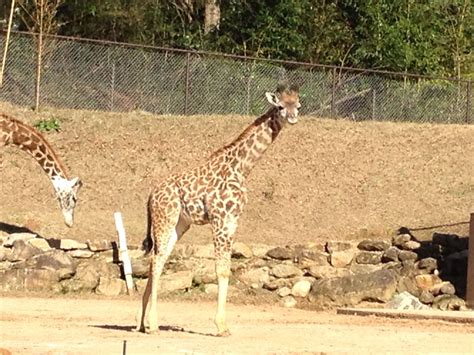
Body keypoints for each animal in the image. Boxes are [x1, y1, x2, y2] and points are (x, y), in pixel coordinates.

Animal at [136, 83, 300, 336]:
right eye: (281, 106)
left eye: (297, 105)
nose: (292, 117)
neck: (242, 168)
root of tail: (151, 195)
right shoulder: (220, 219)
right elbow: (220, 269)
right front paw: (221, 326)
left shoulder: (233, 220)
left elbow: (227, 268)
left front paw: (224, 325)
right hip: (165, 218)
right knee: (156, 259)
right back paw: (153, 324)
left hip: (180, 224)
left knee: (159, 259)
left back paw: (143, 323)